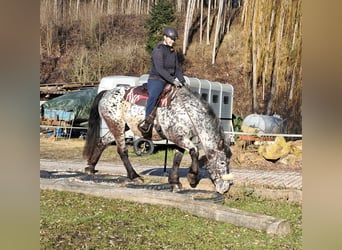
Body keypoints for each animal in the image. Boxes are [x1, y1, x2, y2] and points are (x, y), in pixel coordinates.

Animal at [82, 84, 235, 193]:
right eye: (222, 163)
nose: (226, 187)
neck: (188, 112)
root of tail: (107, 92)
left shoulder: (181, 139)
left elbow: (177, 158)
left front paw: (174, 181)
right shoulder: (178, 136)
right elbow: (194, 151)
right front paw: (192, 177)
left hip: (119, 126)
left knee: (102, 142)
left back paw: (91, 167)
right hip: (117, 125)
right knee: (122, 150)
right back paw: (134, 176)